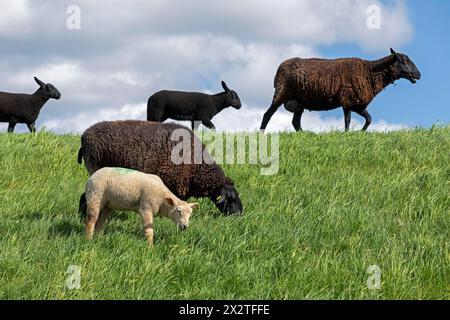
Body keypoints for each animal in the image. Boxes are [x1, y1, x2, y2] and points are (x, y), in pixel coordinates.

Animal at [260, 47, 422, 132]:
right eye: (403, 61)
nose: (419, 74)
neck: (369, 72)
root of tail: (279, 69)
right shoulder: (347, 100)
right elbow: (348, 120)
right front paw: (347, 134)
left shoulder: (358, 104)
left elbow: (369, 119)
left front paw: (361, 133)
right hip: (281, 93)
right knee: (267, 114)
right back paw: (261, 134)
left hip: (299, 102)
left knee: (295, 122)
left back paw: (305, 134)